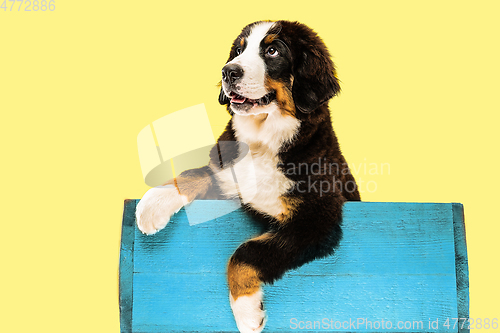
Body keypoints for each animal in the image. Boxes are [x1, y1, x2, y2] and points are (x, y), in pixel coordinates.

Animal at [137, 20, 362, 332]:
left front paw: (247, 312)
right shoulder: (224, 173)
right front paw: (151, 206)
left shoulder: (316, 218)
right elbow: (193, 174)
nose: (228, 71)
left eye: (272, 51)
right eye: (238, 50)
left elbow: (246, 253)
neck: (261, 143)